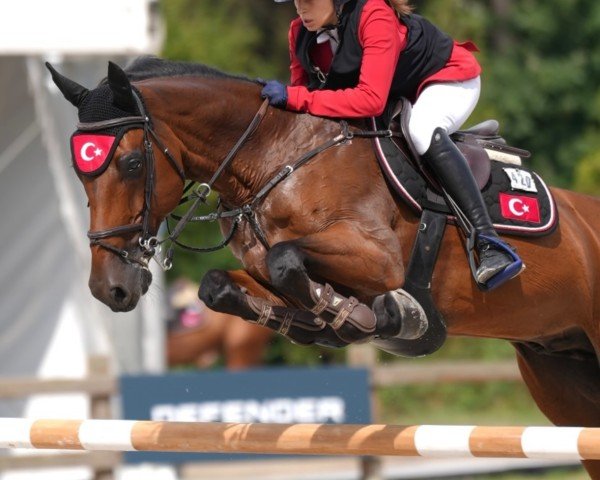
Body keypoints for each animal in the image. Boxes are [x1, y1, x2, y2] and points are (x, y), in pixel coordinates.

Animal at [48, 58, 600, 478]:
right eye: (80, 172)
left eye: (132, 165)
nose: (110, 288)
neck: (274, 158)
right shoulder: (259, 269)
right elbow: (220, 285)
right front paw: (325, 323)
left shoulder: (378, 258)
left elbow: (287, 258)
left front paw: (370, 317)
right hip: (561, 373)